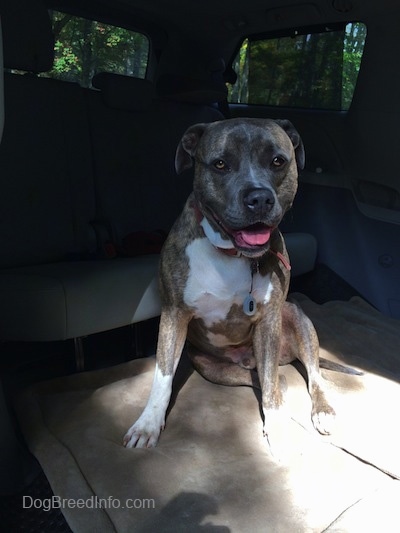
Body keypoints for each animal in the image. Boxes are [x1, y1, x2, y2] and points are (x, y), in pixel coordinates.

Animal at [122, 117, 338, 448]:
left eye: (278, 161)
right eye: (220, 164)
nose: (259, 198)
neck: (232, 254)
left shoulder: (269, 320)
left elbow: (272, 387)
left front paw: (277, 427)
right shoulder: (173, 315)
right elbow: (162, 377)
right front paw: (148, 423)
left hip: (296, 319)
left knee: (309, 375)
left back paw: (322, 409)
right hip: (213, 368)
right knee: (265, 379)